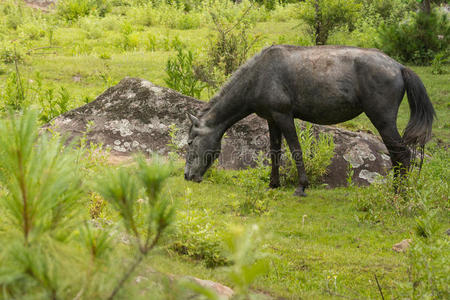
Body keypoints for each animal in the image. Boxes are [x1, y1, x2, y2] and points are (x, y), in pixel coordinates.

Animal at [183, 43, 436, 196]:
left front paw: (301, 187)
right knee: (398, 156)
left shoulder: (284, 116)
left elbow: (295, 149)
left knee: (401, 155)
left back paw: (399, 193)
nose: (187, 176)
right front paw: (273, 184)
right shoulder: (272, 120)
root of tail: (399, 67)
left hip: (383, 121)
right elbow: (275, 152)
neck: (259, 76)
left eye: (190, 142)